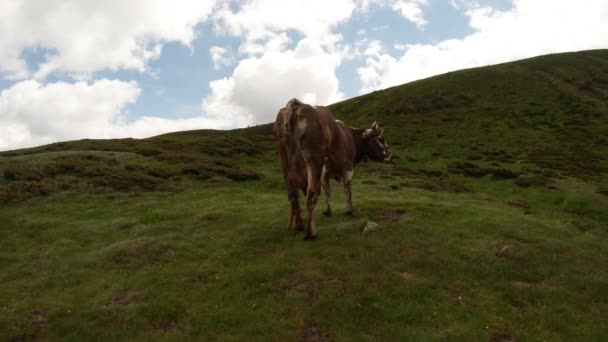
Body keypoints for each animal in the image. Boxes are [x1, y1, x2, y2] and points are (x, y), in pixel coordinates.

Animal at [274, 97, 392, 239]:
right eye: (380, 139)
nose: (389, 155)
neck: (350, 136)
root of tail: (297, 104)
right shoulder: (347, 169)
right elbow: (348, 190)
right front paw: (350, 210)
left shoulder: (326, 174)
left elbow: (328, 192)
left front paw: (327, 211)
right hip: (314, 161)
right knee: (311, 195)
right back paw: (310, 233)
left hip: (284, 164)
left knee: (293, 197)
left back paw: (299, 225)